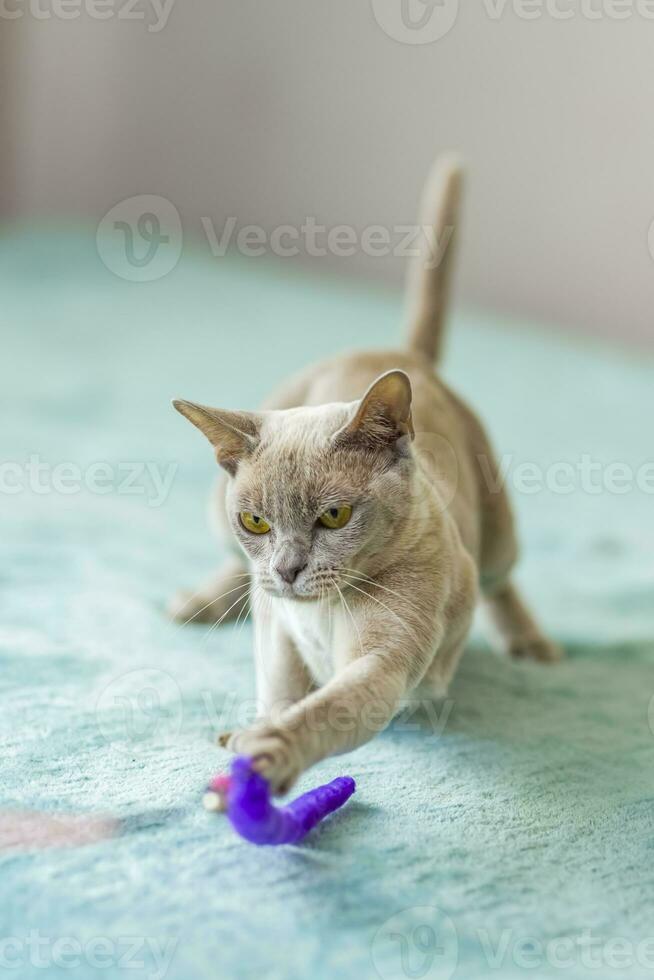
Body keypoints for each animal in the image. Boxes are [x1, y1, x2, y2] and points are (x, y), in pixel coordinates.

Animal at [172, 155, 560, 796]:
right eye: (255, 522)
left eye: (335, 515)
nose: (288, 568)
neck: (317, 612)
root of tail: (401, 353)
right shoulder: (277, 631)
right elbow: (279, 684)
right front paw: (250, 735)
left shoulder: (383, 661)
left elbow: (325, 708)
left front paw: (266, 756)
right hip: (212, 512)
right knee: (237, 575)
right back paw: (198, 604)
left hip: (499, 535)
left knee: (502, 581)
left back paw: (531, 645)